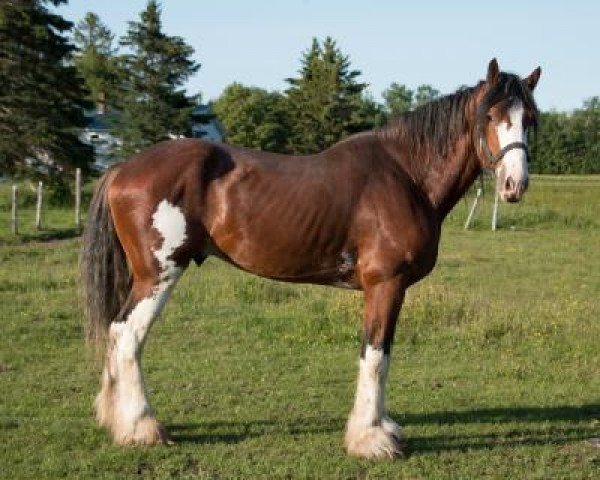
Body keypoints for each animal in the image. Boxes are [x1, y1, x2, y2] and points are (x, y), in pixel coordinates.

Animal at [79, 58, 540, 460]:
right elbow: (375, 356)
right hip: (158, 275)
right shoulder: (385, 285)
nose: (514, 185)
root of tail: (122, 169)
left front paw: (382, 428)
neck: (406, 176)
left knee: (116, 332)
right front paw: (370, 439)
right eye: (490, 116)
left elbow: (383, 354)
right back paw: (142, 428)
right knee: (128, 336)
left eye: (530, 119)